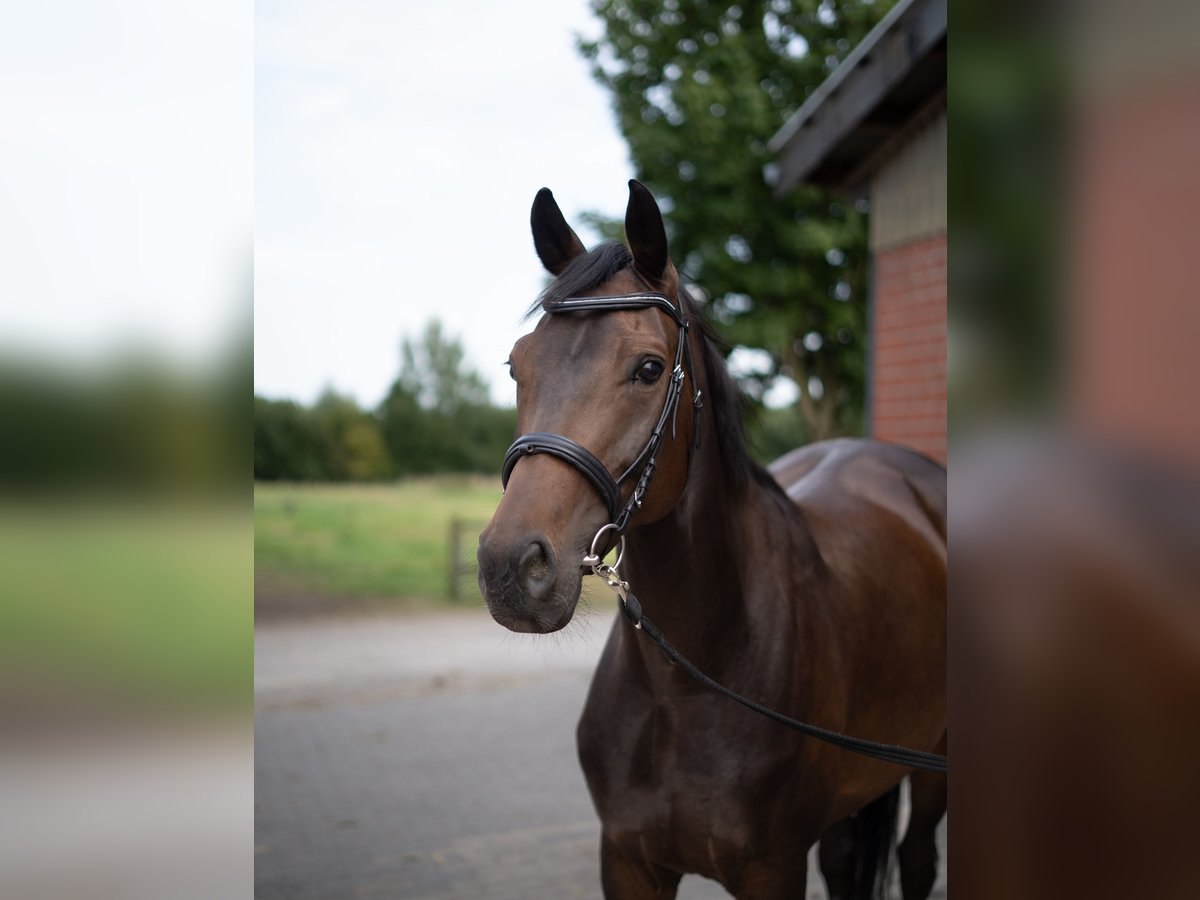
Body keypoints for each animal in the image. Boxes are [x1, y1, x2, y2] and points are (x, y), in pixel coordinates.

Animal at [477, 180, 946, 900]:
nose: (511, 566)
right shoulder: (627, 861)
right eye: (515, 366)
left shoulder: (772, 868)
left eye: (648, 368)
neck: (689, 683)